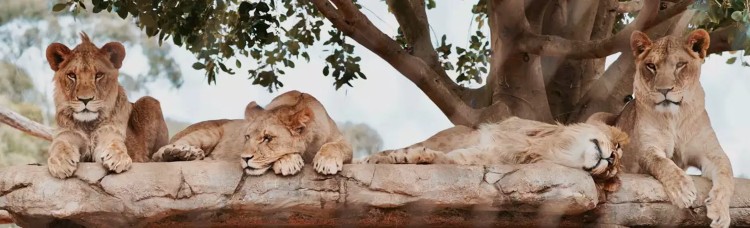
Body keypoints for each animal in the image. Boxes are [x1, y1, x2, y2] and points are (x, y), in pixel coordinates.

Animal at [45, 32, 169, 178]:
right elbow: (60, 145)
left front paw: (118, 157)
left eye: (99, 75)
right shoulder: (67, 135)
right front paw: (61, 162)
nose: (85, 100)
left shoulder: (109, 133)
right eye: (71, 75)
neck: (89, 125)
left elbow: (115, 144)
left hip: (149, 101)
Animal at [153, 91, 356, 176]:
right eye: (247, 137)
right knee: (157, 154)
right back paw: (181, 152)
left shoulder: (341, 141)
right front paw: (288, 162)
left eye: (267, 138)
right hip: (208, 133)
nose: (245, 158)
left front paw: (326, 162)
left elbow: (335, 146)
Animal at [364, 116, 628, 192]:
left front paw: (416, 158)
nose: (611, 161)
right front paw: (382, 157)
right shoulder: (473, 139)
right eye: (616, 146)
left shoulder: (483, 157)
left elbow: (447, 158)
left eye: (608, 174)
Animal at [592, 29, 736, 228]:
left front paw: (720, 211)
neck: (675, 117)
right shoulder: (647, 149)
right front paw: (683, 190)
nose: (664, 90)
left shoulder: (711, 152)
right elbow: (663, 163)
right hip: (598, 117)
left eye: (680, 65)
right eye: (651, 66)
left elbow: (726, 172)